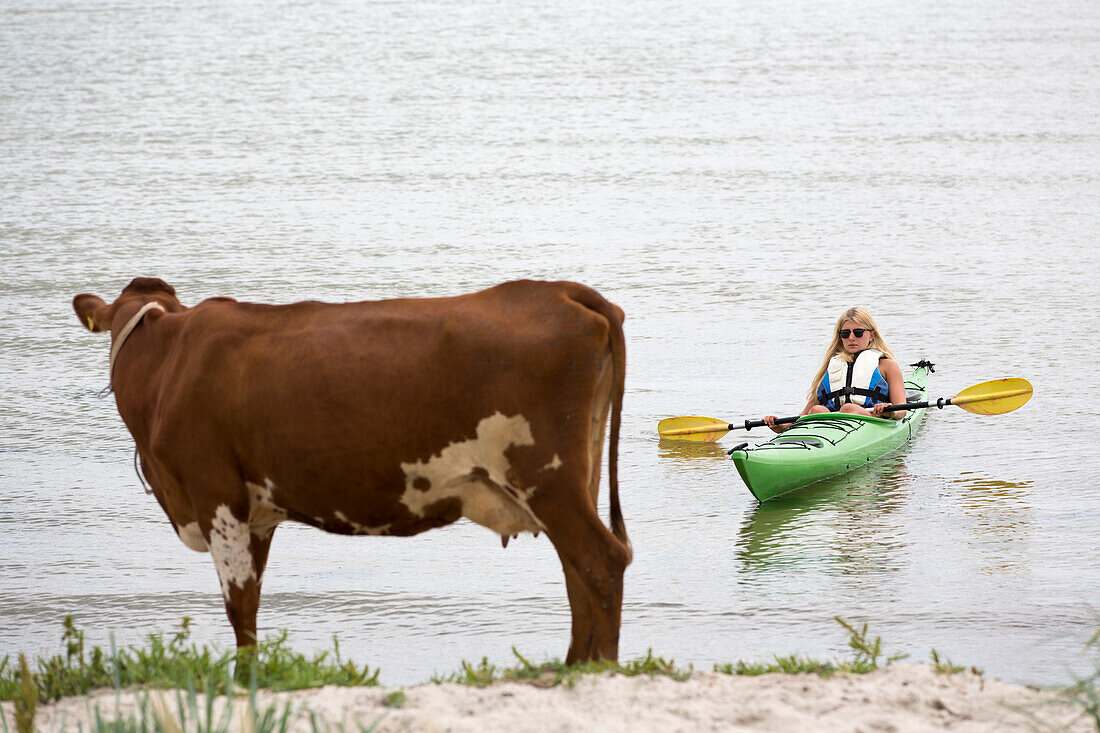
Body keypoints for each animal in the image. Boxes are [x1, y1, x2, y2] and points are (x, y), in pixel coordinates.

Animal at [73, 275, 629, 660]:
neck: (168, 361)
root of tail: (563, 292)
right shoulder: (258, 511)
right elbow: (253, 596)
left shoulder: (214, 491)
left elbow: (240, 606)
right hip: (575, 477)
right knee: (577, 571)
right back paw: (575, 667)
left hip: (547, 477)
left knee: (599, 561)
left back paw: (595, 672)